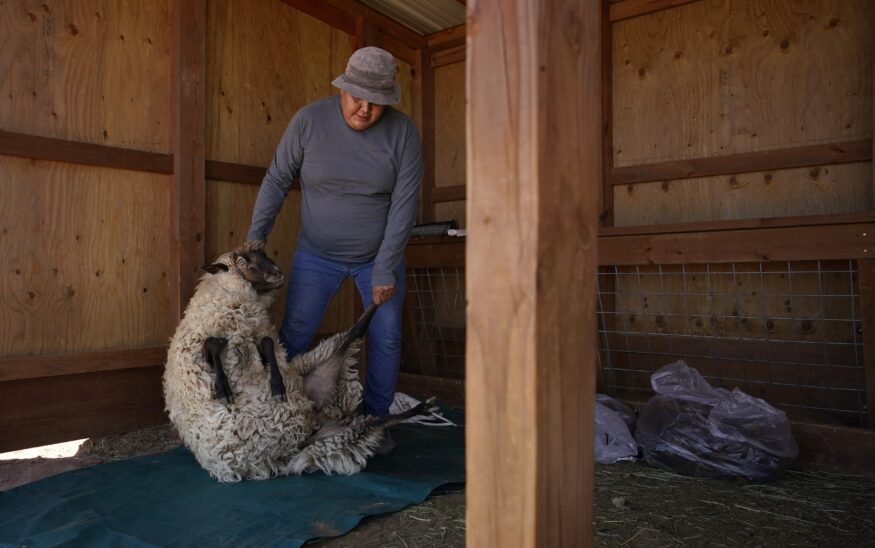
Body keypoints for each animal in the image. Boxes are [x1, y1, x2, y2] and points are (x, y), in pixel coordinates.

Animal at [163, 242, 436, 482]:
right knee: (367, 414)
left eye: (264, 255)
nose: (277, 273)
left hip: (323, 399)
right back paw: (420, 408)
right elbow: (214, 346)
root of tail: (313, 422)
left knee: (355, 333)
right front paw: (225, 391)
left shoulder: (261, 333)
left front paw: (276, 385)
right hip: (329, 434)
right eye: (242, 262)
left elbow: (267, 343)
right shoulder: (212, 337)